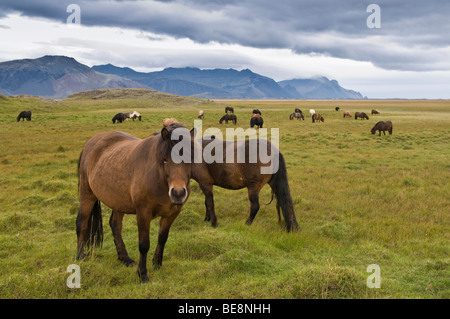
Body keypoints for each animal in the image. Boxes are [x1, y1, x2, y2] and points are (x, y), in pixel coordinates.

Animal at [76, 124, 196, 284]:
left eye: (189, 159)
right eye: (164, 160)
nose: (177, 193)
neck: (158, 178)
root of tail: (90, 143)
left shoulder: (172, 213)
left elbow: (162, 238)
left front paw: (157, 264)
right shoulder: (143, 213)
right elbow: (144, 245)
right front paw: (143, 274)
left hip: (118, 202)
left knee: (115, 225)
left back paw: (125, 258)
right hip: (87, 195)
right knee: (81, 223)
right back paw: (80, 256)